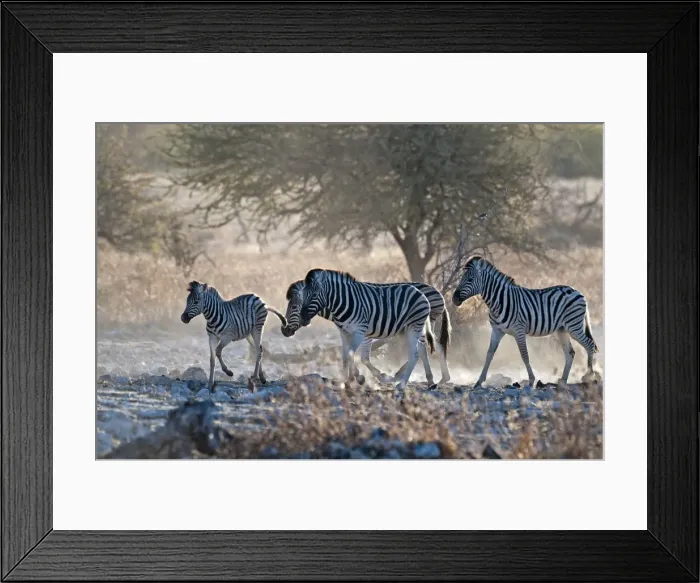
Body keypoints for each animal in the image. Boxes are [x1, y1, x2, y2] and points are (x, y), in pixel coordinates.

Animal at [281, 279, 452, 384]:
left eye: (294, 307)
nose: (284, 331)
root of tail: (439, 293)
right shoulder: (345, 331)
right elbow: (348, 354)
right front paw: (354, 377)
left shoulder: (365, 331)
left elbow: (362, 357)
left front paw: (372, 376)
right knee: (433, 346)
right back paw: (437, 379)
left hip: (420, 324)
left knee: (425, 347)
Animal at [452, 256, 600, 388]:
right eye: (462, 278)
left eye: (470, 279)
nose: (454, 298)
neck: (499, 301)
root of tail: (578, 292)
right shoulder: (497, 330)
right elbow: (489, 354)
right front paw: (479, 381)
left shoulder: (519, 330)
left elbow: (524, 355)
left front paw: (531, 380)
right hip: (562, 329)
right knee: (570, 353)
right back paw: (563, 381)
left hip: (574, 326)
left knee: (589, 344)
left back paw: (589, 376)